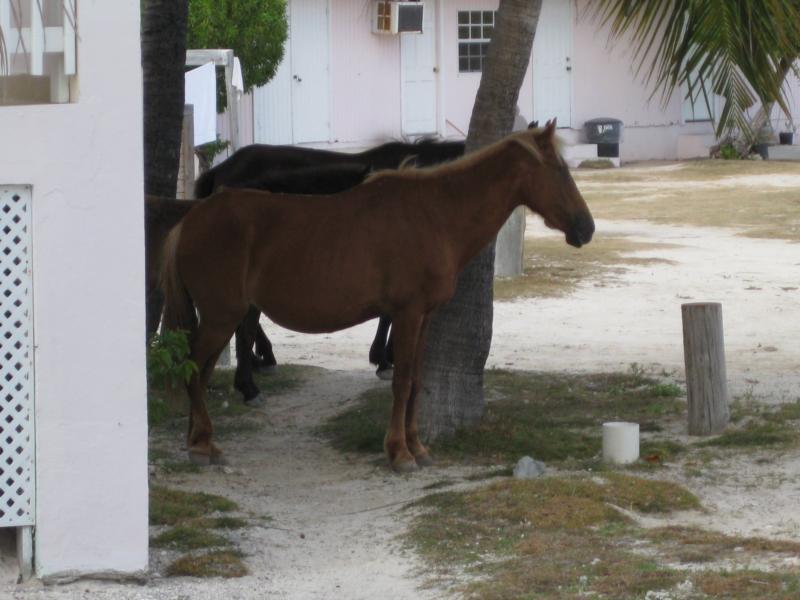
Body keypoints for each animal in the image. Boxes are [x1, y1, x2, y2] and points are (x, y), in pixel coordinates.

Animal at [161, 120, 592, 468]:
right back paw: (204, 444)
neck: (433, 215)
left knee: (201, 371)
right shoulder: (407, 313)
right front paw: (399, 452)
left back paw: (201, 438)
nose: (585, 227)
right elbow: (400, 380)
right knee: (196, 369)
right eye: (559, 170)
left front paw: (418, 448)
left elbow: (416, 380)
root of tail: (192, 220)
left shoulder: (424, 317)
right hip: (221, 317)